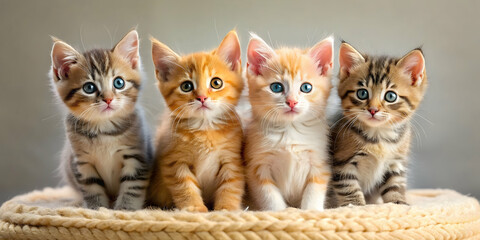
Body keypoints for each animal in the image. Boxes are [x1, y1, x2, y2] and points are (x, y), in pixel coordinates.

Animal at [50, 30, 152, 210]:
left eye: (119, 82)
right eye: (89, 87)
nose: (108, 99)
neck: (104, 129)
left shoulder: (137, 157)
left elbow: (132, 187)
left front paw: (125, 210)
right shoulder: (82, 163)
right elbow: (92, 189)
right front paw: (97, 209)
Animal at [146, 30, 244, 212]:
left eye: (216, 83)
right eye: (186, 86)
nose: (202, 97)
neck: (205, 129)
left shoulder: (232, 159)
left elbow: (231, 186)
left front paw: (226, 209)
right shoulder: (174, 161)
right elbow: (185, 187)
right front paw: (194, 209)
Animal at [244, 33, 334, 210]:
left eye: (306, 87)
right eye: (276, 87)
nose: (292, 102)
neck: (289, 130)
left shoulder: (319, 162)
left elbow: (314, 192)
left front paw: (311, 210)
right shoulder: (257, 166)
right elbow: (270, 196)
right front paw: (280, 212)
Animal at [326, 42, 428, 207]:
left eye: (390, 96)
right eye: (362, 93)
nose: (373, 110)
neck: (379, 135)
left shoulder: (396, 163)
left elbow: (394, 186)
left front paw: (398, 203)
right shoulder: (342, 162)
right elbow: (348, 187)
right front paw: (355, 205)